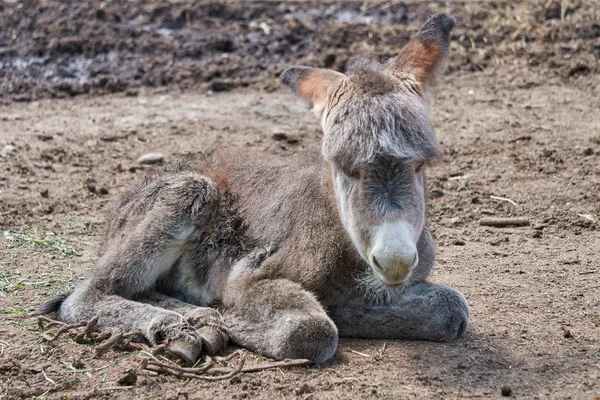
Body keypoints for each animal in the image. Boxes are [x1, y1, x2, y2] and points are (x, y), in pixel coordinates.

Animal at [41, 14, 468, 366]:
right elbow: (309, 331)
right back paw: (187, 324)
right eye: (345, 169)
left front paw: (353, 310)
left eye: (421, 165)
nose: (394, 261)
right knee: (85, 296)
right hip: (186, 192)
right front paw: (226, 315)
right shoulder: (251, 277)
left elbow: (452, 309)